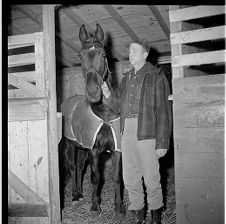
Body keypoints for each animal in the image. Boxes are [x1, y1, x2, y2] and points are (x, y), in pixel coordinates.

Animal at [60, 24, 124, 215]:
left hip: (82, 148)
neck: (104, 115)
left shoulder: (116, 149)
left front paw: (119, 208)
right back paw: (75, 196)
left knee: (80, 167)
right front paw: (95, 205)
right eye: (80, 56)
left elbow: (116, 177)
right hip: (70, 146)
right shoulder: (93, 150)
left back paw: (81, 194)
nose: (93, 92)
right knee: (74, 168)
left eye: (103, 54)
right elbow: (96, 177)